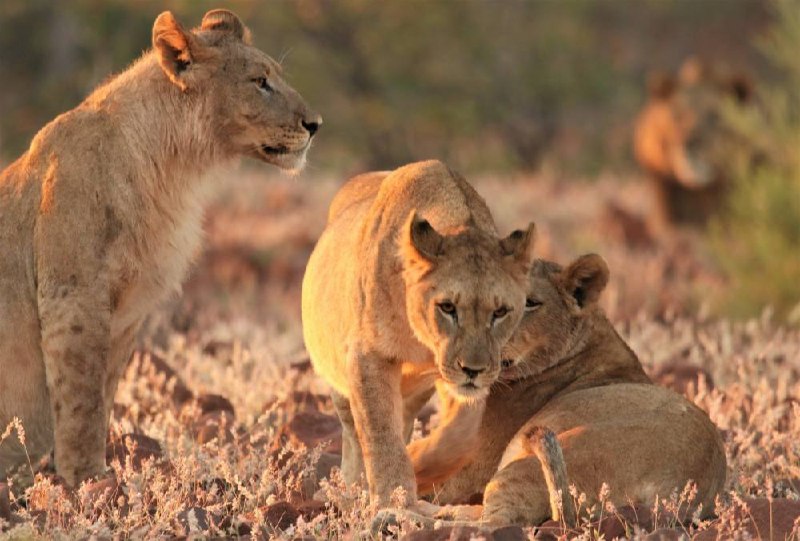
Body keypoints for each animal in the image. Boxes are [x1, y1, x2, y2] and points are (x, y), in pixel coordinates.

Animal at [0, 9, 320, 486]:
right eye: (260, 81)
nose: (315, 125)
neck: (173, 169)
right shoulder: (73, 299)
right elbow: (81, 403)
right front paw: (87, 481)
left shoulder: (125, 316)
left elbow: (103, 397)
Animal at [301, 160, 536, 508]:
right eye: (448, 307)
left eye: (500, 312)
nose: (474, 370)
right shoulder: (368, 356)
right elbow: (380, 434)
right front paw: (393, 502)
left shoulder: (455, 374)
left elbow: (462, 431)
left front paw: (424, 463)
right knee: (353, 433)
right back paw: (349, 492)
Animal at [389, 254, 726, 528]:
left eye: (529, 303)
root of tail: (676, 494)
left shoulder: (471, 463)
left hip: (540, 459)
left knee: (493, 524)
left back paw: (398, 517)